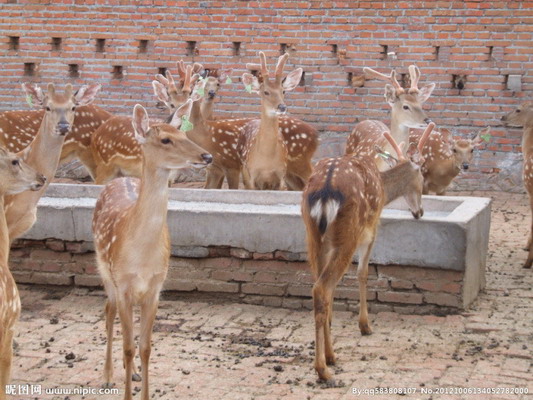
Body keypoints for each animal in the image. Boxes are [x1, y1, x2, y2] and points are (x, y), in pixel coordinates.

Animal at [91, 101, 210, 400]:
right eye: (166, 139)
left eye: (184, 133)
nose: (207, 156)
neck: (142, 259)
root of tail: (119, 179)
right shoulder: (122, 283)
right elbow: (128, 346)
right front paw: (124, 392)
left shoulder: (156, 287)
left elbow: (145, 347)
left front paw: (142, 388)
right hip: (104, 269)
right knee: (108, 311)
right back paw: (107, 376)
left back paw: (130, 372)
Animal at [302, 122, 434, 384]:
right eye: (422, 176)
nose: (420, 212)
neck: (383, 188)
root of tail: (325, 191)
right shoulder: (372, 229)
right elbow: (363, 272)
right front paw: (365, 325)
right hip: (349, 233)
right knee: (323, 287)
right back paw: (323, 368)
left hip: (313, 236)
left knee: (320, 287)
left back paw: (329, 357)